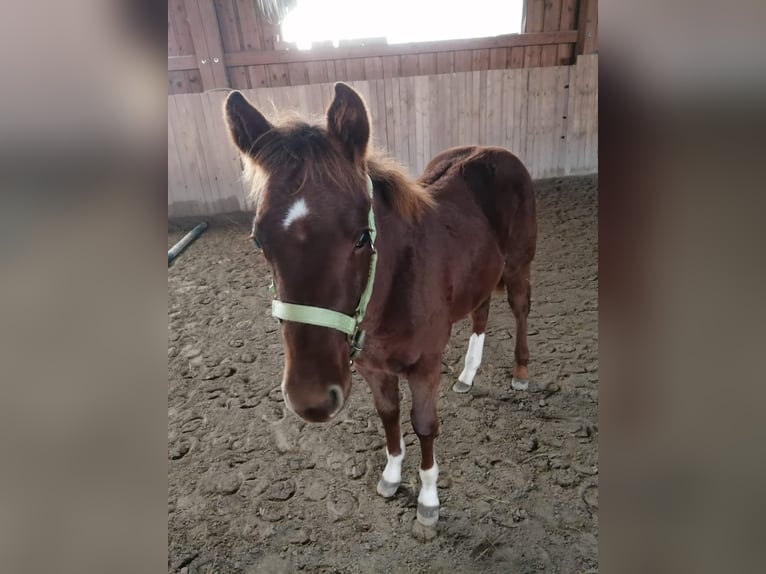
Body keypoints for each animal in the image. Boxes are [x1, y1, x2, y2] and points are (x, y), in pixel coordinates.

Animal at [222, 83, 536, 528]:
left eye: (360, 237)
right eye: (258, 241)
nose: (310, 399)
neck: (387, 295)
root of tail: (497, 152)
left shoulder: (424, 366)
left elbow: (424, 424)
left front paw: (428, 500)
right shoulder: (371, 368)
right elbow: (389, 416)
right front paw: (390, 477)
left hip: (518, 265)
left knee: (521, 307)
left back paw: (521, 372)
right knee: (480, 313)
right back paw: (467, 375)